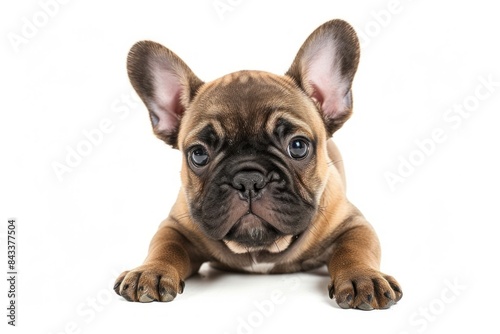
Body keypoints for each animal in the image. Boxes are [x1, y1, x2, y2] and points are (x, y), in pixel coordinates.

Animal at [113, 18, 402, 310]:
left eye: (298, 146)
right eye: (198, 154)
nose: (248, 179)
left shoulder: (353, 224)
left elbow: (355, 249)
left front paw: (362, 277)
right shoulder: (175, 226)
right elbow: (164, 247)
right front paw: (150, 271)